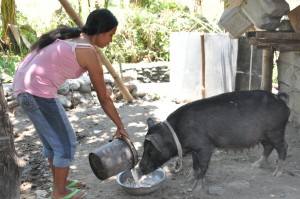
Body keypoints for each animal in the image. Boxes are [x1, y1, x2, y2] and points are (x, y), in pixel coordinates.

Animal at [139, 89, 290, 190]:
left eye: (150, 150)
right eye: (144, 147)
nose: (140, 168)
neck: (176, 133)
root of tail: (281, 100)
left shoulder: (205, 146)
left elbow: (202, 166)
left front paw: (195, 187)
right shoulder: (194, 149)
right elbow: (194, 164)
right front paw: (189, 177)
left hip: (276, 130)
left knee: (283, 147)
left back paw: (277, 173)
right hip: (264, 135)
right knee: (268, 147)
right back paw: (255, 165)